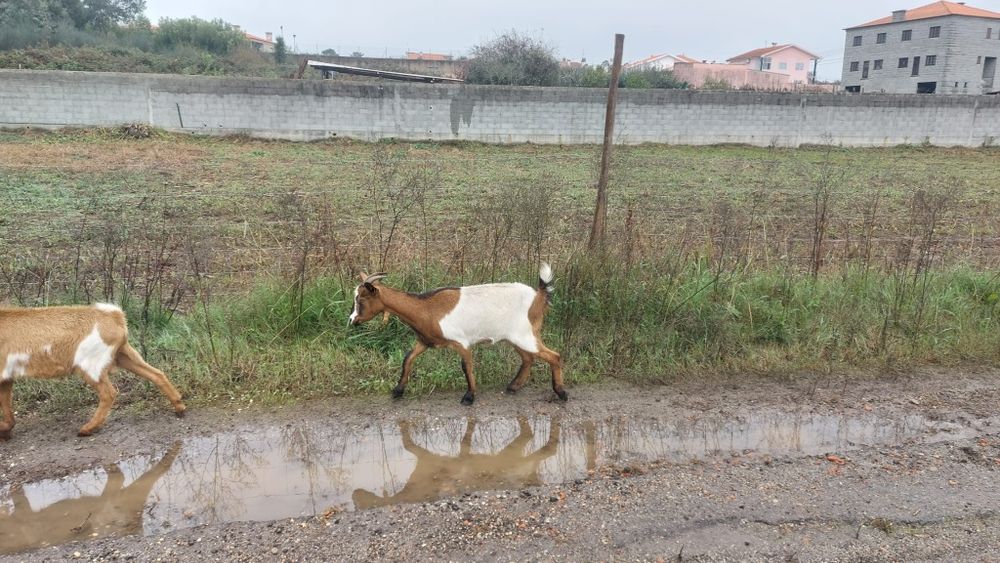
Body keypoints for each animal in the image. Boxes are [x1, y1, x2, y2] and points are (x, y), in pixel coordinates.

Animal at [0, 303, 186, 438]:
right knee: (157, 374)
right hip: (124, 355)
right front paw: (6, 428)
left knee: (109, 393)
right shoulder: (5, 378)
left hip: (91, 366)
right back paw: (179, 407)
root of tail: (114, 315)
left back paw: (87, 429)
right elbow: (6, 403)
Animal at [349, 264, 567, 405]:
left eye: (361, 299)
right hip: (515, 337)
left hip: (525, 335)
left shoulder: (461, 342)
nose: (352, 320)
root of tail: (538, 296)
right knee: (528, 358)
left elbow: (466, 367)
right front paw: (397, 391)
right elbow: (408, 359)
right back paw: (513, 386)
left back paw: (561, 393)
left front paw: (469, 397)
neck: (425, 308)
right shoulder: (425, 341)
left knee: (554, 356)